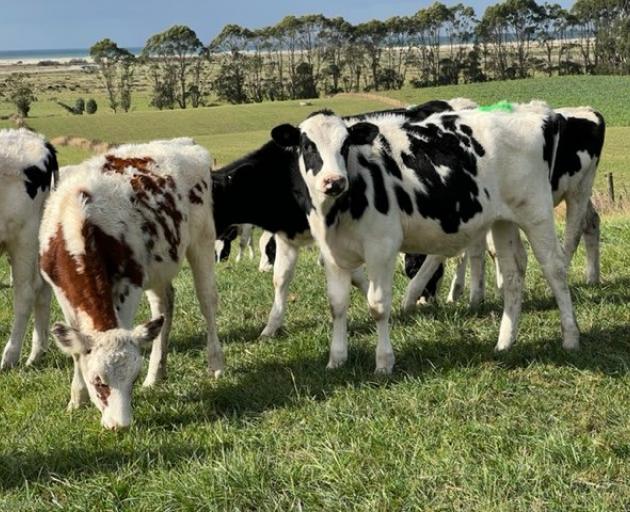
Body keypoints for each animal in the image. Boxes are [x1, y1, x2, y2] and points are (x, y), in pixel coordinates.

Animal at [39, 139, 222, 428]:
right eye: (98, 382)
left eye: (131, 379)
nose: (121, 425)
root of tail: (185, 143)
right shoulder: (61, 291)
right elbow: (77, 350)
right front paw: (76, 399)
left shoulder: (130, 282)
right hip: (158, 265)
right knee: (163, 306)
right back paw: (156, 374)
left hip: (202, 240)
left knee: (207, 302)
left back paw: (216, 364)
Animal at [274, 107, 580, 372]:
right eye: (307, 146)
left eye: (345, 144)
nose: (334, 181)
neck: (337, 211)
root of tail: (537, 115)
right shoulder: (333, 254)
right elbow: (336, 306)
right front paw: (336, 359)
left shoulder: (381, 248)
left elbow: (378, 306)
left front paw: (384, 362)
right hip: (503, 221)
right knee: (513, 272)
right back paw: (505, 342)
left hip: (536, 213)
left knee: (554, 269)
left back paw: (571, 337)